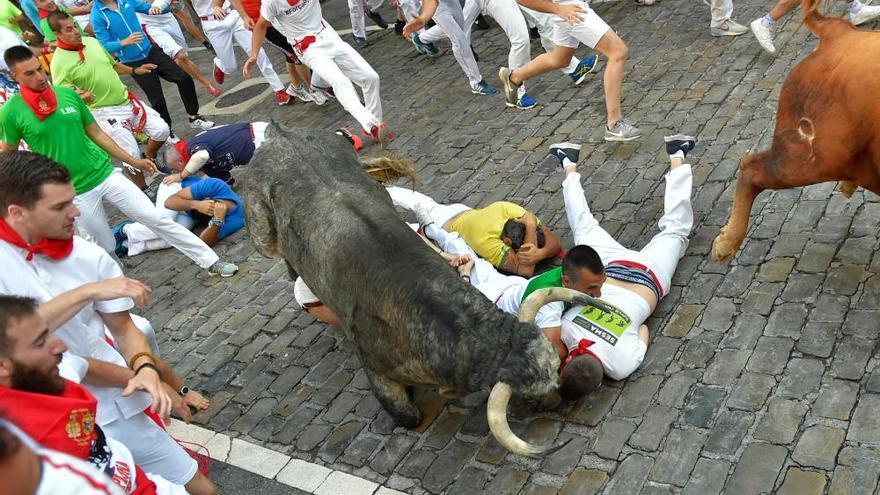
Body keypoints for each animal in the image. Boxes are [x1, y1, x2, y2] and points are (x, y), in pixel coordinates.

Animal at [237, 124, 600, 458]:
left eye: (556, 366)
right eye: (530, 395)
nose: (557, 397)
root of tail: (280, 136)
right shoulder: (377, 370)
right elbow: (408, 416)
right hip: (261, 233)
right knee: (276, 251)